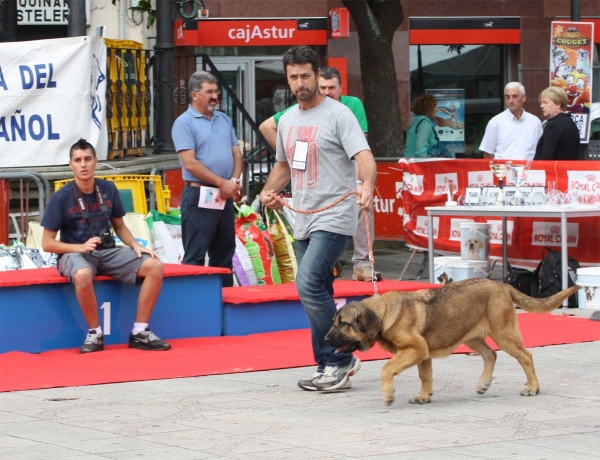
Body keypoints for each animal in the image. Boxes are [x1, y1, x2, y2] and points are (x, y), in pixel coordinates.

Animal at [324, 278, 580, 404]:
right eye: (335, 321)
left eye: (342, 323)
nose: (325, 338)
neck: (384, 313)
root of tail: (502, 284)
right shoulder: (423, 354)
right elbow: (425, 376)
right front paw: (424, 397)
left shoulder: (415, 349)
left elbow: (387, 368)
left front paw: (388, 395)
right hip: (472, 335)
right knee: (491, 354)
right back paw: (483, 383)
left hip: (503, 333)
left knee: (526, 356)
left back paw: (533, 387)